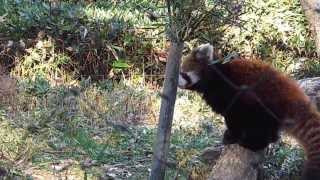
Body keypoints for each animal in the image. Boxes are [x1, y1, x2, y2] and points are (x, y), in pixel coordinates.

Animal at [179, 43, 320, 179]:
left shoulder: (229, 94)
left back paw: (252, 143)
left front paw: (231, 136)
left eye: (183, 74)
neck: (217, 76)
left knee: (261, 128)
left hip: (263, 104)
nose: (177, 83)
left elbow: (233, 117)